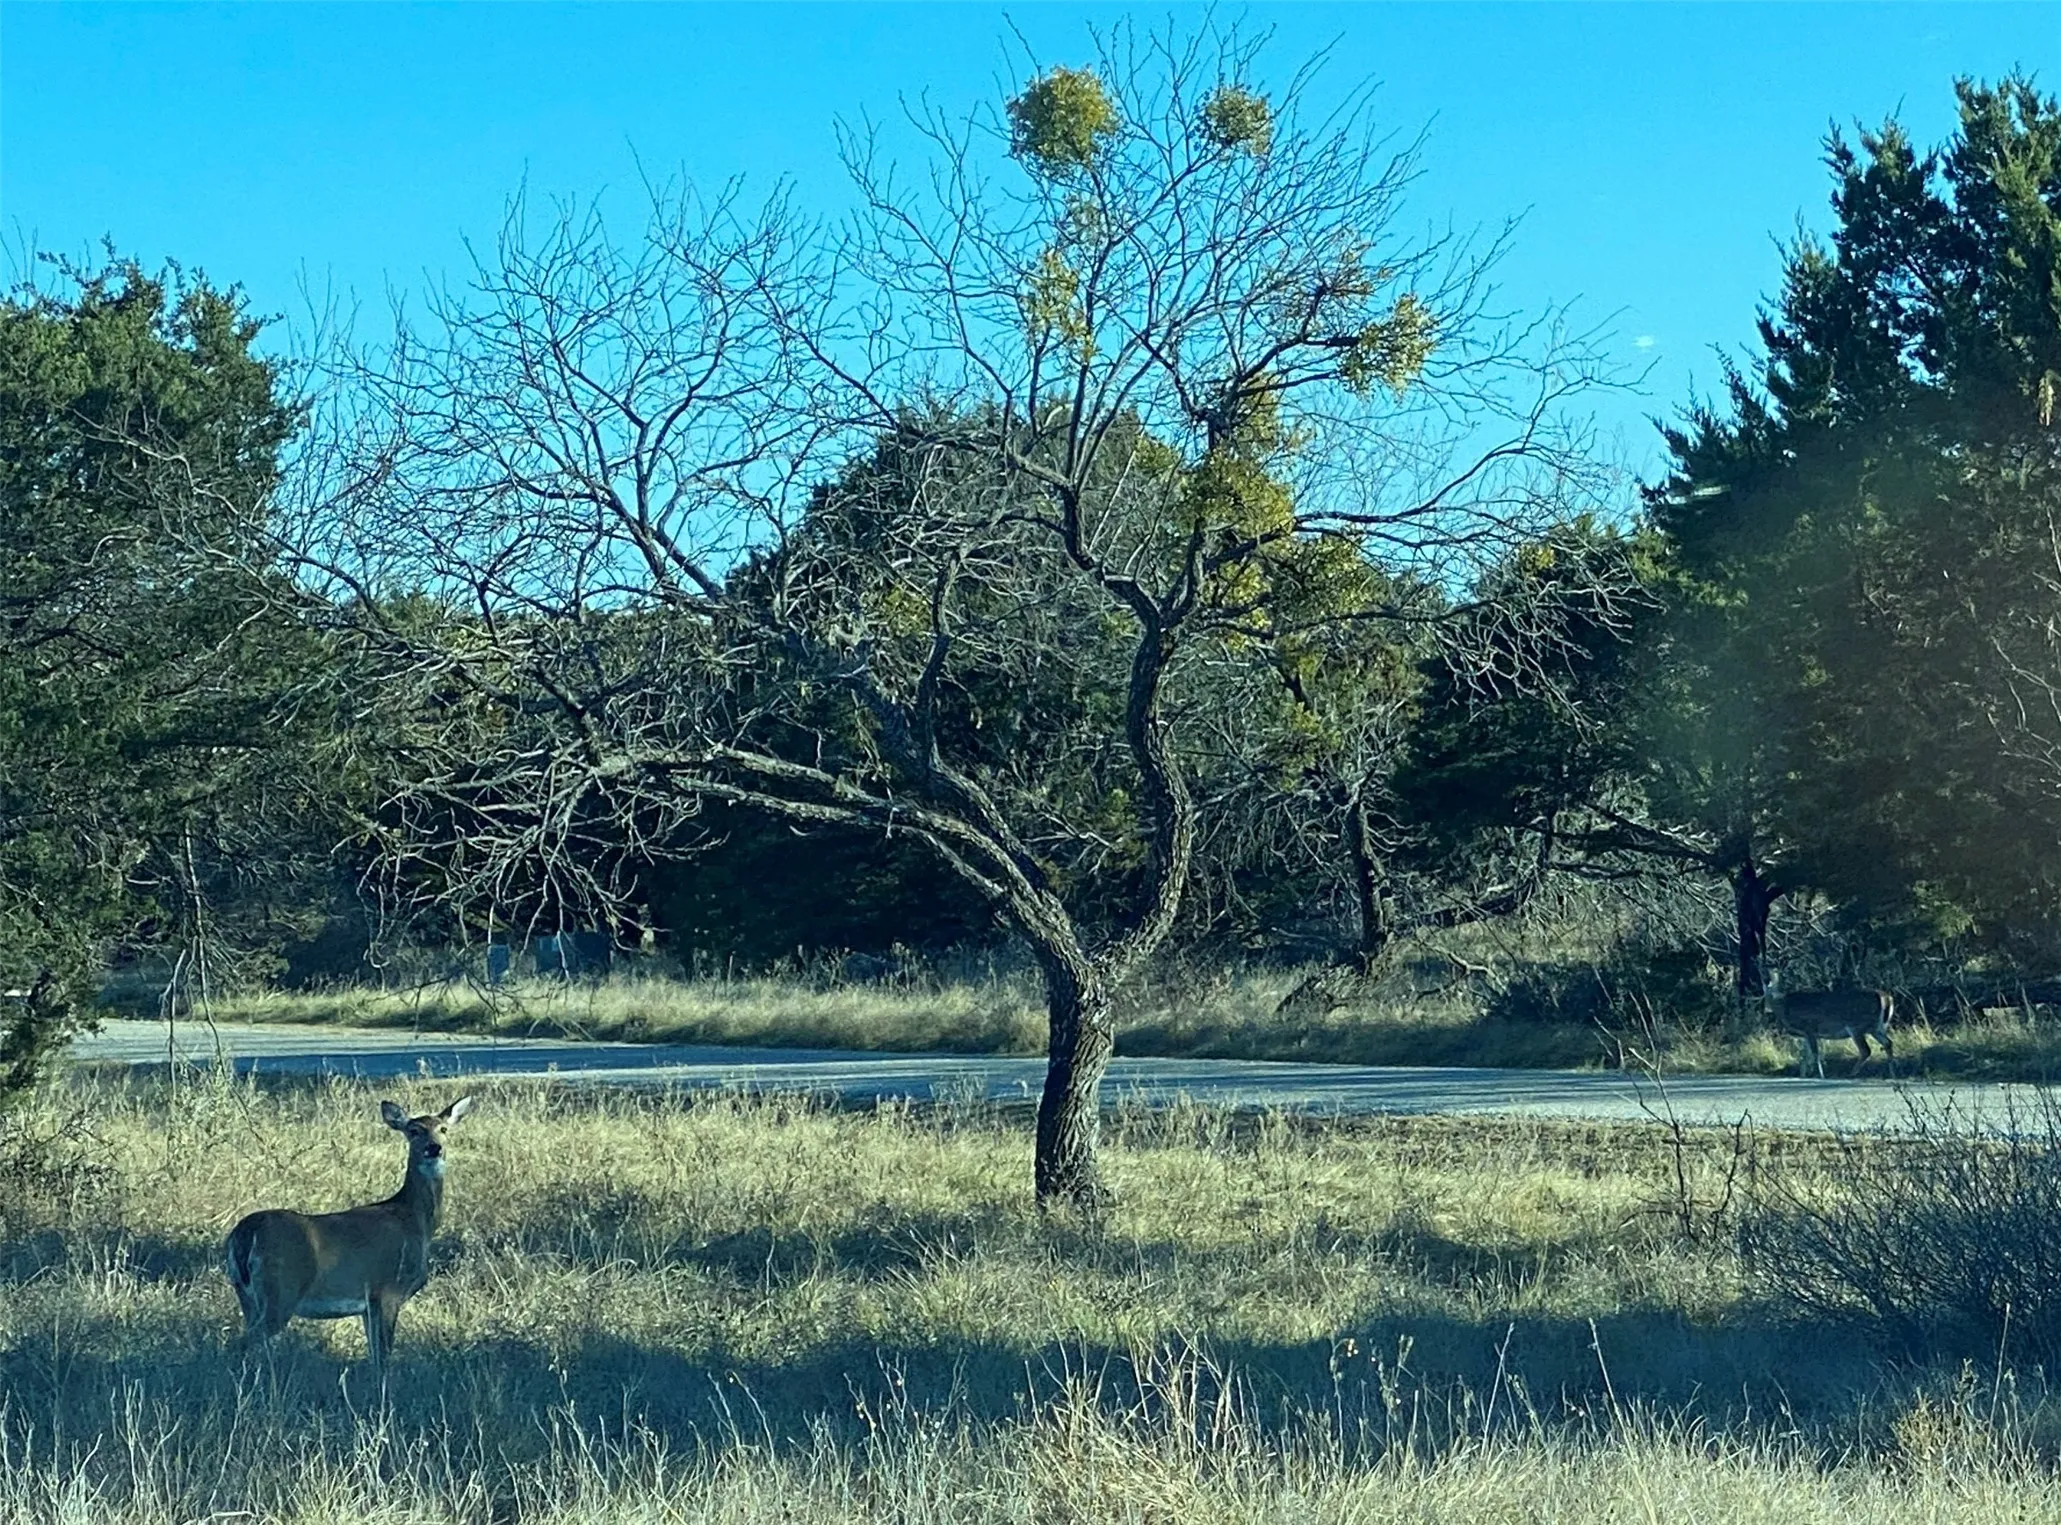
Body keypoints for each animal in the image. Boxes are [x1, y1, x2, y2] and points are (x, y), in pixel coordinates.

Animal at [224, 1095, 473, 1375]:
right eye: (413, 1131)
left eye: (443, 1129)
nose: (434, 1148)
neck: (414, 1219)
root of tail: (243, 1233)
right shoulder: (387, 1290)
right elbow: (383, 1358)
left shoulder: (368, 1305)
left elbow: (374, 1355)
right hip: (281, 1289)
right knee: (240, 1344)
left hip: (245, 1294)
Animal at [1762, 970, 1895, 1078]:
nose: (1766, 1009)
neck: (1784, 1006)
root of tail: (1887, 998)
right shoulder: (1806, 1034)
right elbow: (1804, 1056)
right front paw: (1803, 1075)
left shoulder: (1810, 1028)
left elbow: (1815, 1054)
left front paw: (1820, 1075)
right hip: (1877, 1028)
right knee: (1888, 1043)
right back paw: (1891, 1072)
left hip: (1857, 1026)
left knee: (1866, 1050)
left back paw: (1850, 1074)